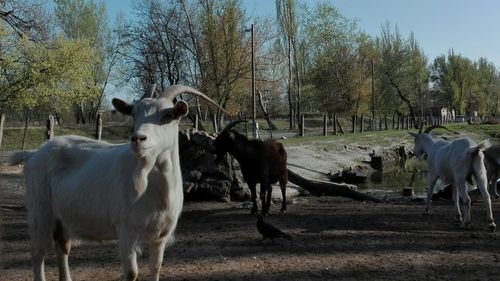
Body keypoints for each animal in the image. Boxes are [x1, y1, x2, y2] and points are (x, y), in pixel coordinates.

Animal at [7, 85, 229, 280]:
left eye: (168, 116)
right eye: (134, 115)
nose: (138, 138)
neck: (157, 190)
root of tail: (33, 153)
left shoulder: (160, 236)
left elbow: (156, 268)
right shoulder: (126, 231)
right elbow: (131, 273)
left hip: (63, 218)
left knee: (62, 247)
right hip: (40, 213)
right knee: (38, 253)